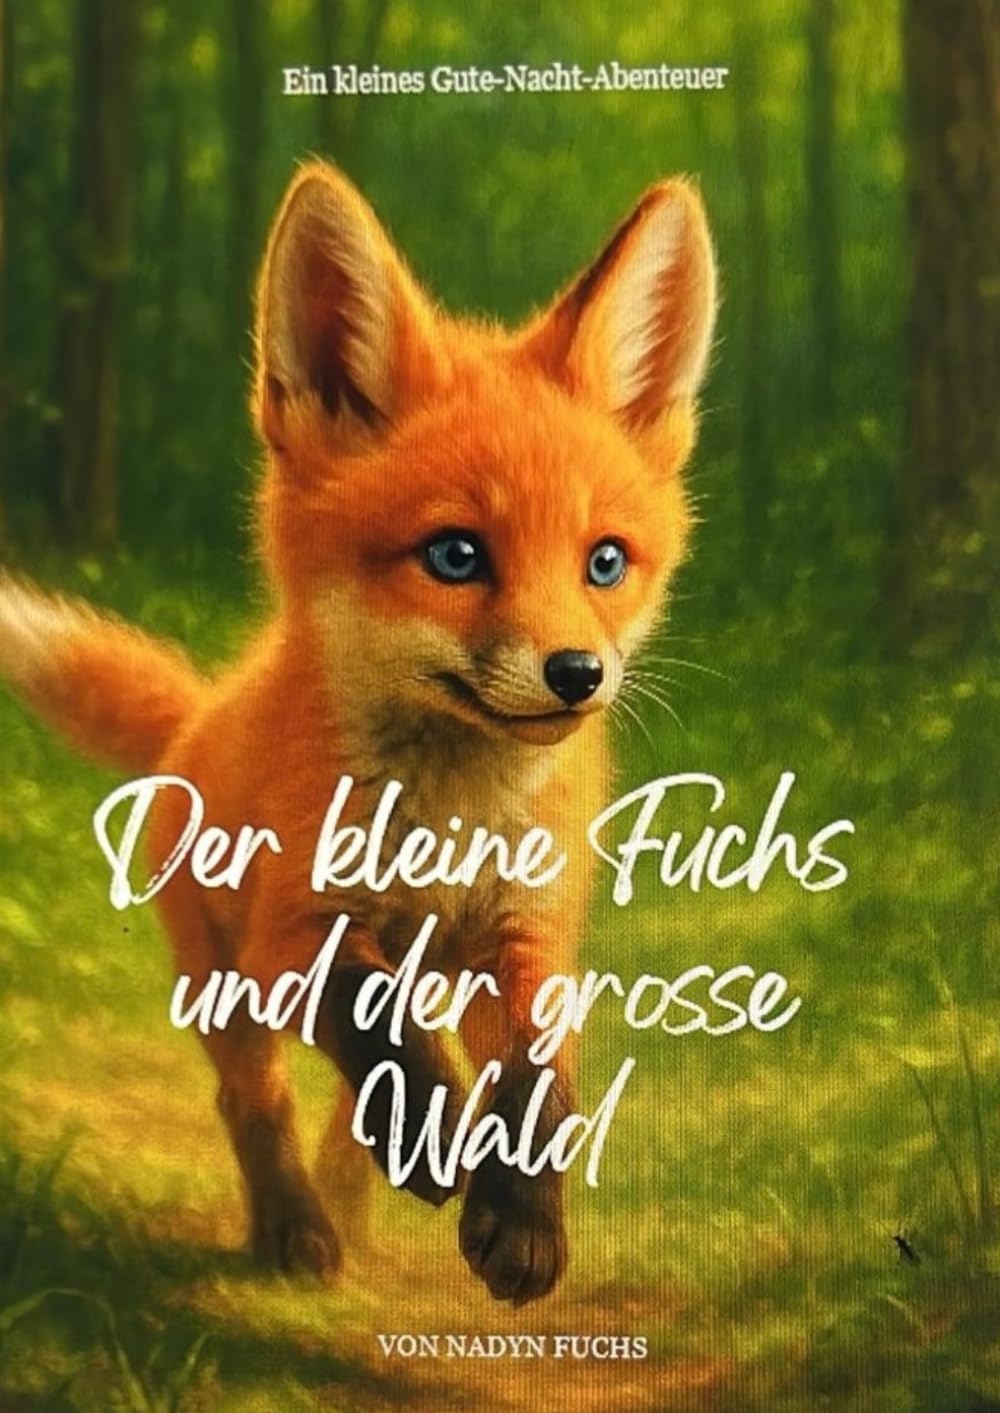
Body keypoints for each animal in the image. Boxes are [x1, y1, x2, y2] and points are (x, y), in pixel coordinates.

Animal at [0, 161, 716, 1304]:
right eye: (455, 555)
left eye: (605, 562)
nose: (576, 676)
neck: (450, 823)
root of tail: (198, 717)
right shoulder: (292, 933)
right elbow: (367, 1018)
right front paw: (430, 1147)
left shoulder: (527, 939)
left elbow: (535, 1084)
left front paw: (519, 1219)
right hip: (221, 990)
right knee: (258, 1100)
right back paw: (298, 1227)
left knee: (365, 1104)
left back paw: (362, 1193)